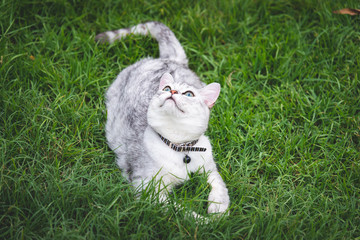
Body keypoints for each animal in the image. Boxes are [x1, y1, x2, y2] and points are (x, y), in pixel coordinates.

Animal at [97, 21, 229, 216]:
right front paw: (204, 220)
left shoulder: (209, 166)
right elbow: (182, 213)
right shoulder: (148, 190)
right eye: (166, 88)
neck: (180, 149)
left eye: (189, 94)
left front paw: (219, 208)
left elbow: (219, 184)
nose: (172, 91)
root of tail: (170, 60)